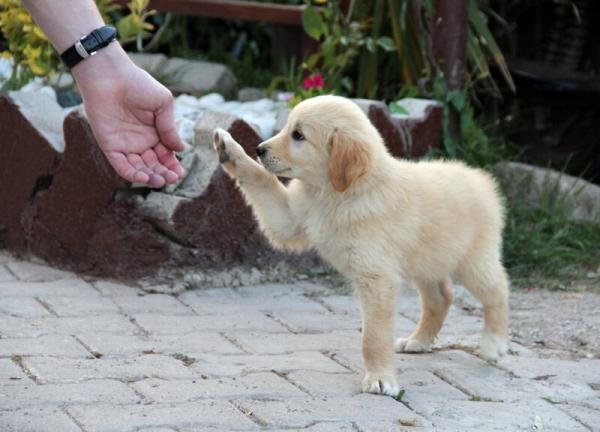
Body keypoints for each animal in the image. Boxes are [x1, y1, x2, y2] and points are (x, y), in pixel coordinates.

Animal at [213, 96, 508, 396]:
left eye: (298, 136)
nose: (259, 149)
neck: (336, 194)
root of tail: (481, 180)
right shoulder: (289, 218)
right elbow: (262, 179)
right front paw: (230, 151)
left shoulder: (376, 276)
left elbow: (373, 337)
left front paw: (380, 378)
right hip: (425, 260)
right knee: (441, 297)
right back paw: (419, 341)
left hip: (472, 261)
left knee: (497, 289)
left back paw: (494, 343)